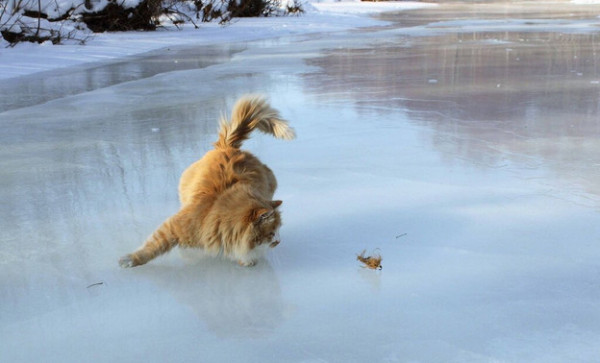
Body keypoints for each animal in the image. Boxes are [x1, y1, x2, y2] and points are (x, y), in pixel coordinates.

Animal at [118, 95, 294, 268]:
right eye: (271, 233)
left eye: (278, 229)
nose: (279, 241)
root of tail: (227, 146)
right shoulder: (174, 227)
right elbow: (153, 245)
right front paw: (131, 259)